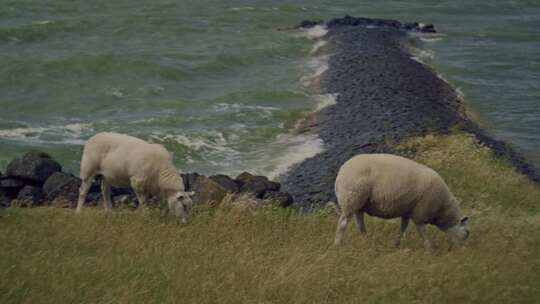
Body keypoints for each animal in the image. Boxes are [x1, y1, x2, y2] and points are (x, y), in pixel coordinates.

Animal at [334, 153, 468, 251]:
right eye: (466, 233)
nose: (462, 252)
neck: (442, 209)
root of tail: (341, 172)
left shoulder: (407, 211)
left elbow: (403, 228)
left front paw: (396, 244)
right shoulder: (421, 212)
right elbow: (422, 231)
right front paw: (430, 249)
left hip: (359, 204)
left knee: (360, 225)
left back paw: (366, 240)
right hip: (351, 199)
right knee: (342, 224)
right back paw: (337, 244)